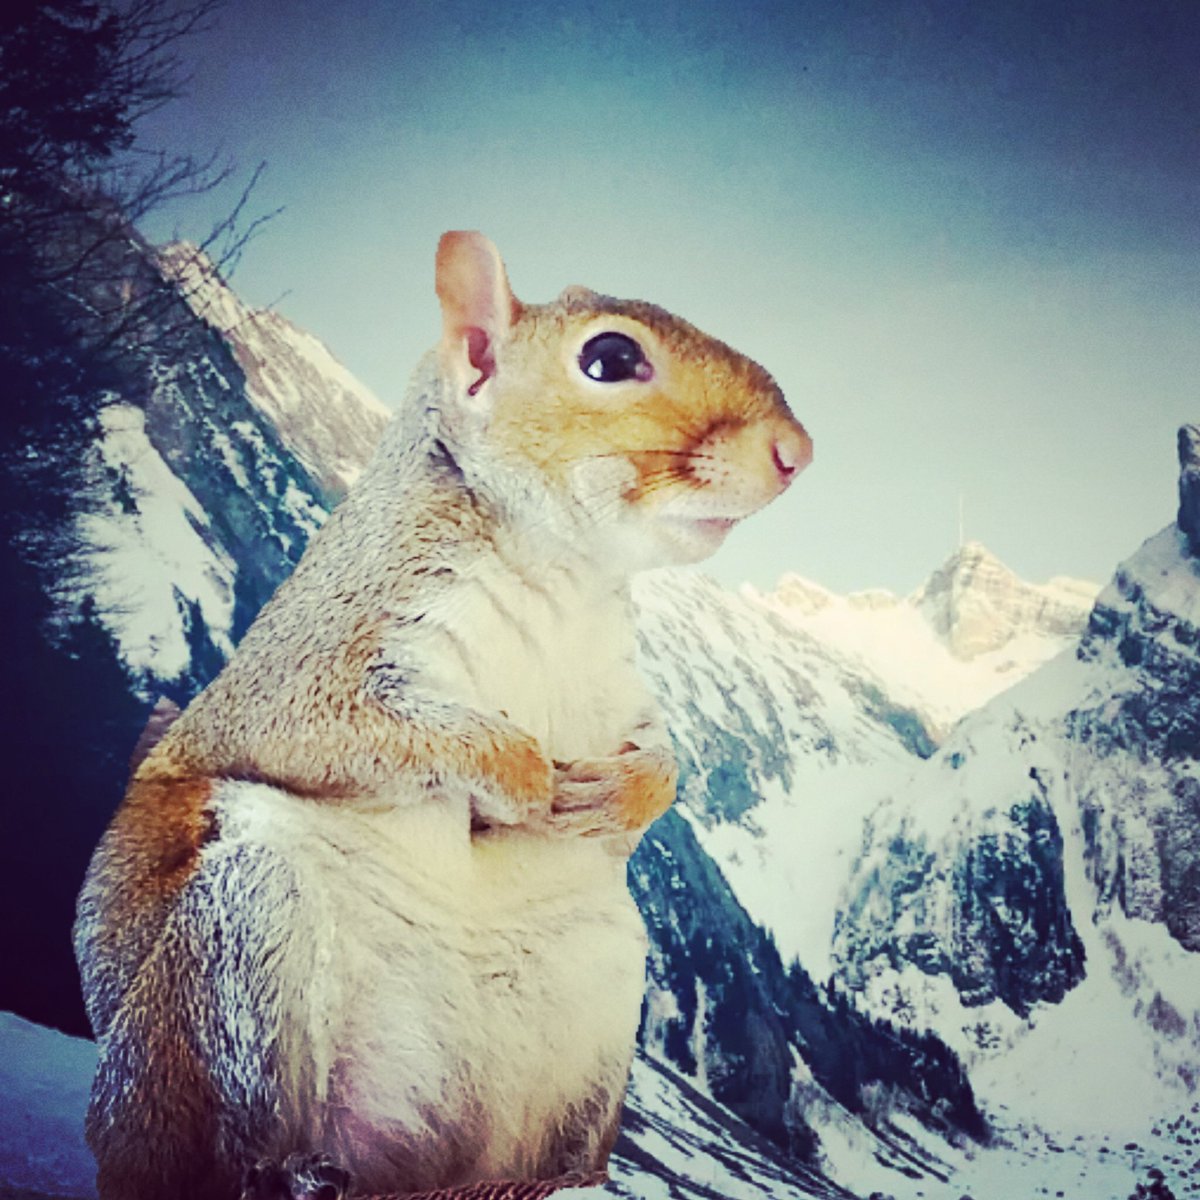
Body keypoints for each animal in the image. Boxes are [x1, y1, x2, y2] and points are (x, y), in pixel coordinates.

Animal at [74, 231, 812, 1200]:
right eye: (611, 359)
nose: (796, 450)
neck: (558, 571)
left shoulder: (623, 689)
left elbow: (665, 757)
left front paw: (623, 792)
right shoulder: (314, 657)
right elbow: (337, 726)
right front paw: (523, 775)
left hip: (594, 1004)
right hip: (239, 941)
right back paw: (291, 1173)